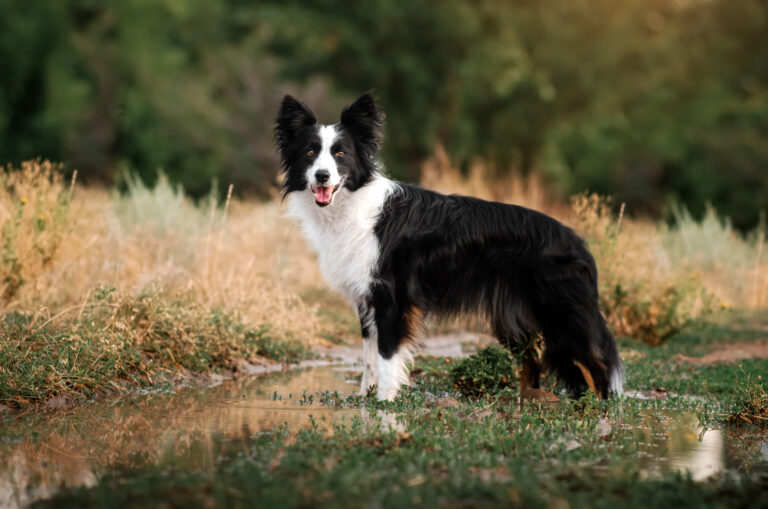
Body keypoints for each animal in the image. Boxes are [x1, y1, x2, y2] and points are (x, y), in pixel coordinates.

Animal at [276, 93, 624, 398]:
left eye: (341, 155)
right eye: (309, 154)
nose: (322, 176)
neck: (352, 203)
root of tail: (577, 242)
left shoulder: (392, 299)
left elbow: (387, 358)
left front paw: (385, 405)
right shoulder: (367, 300)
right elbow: (368, 358)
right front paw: (365, 400)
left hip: (560, 313)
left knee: (597, 365)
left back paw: (599, 412)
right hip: (513, 317)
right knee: (534, 363)